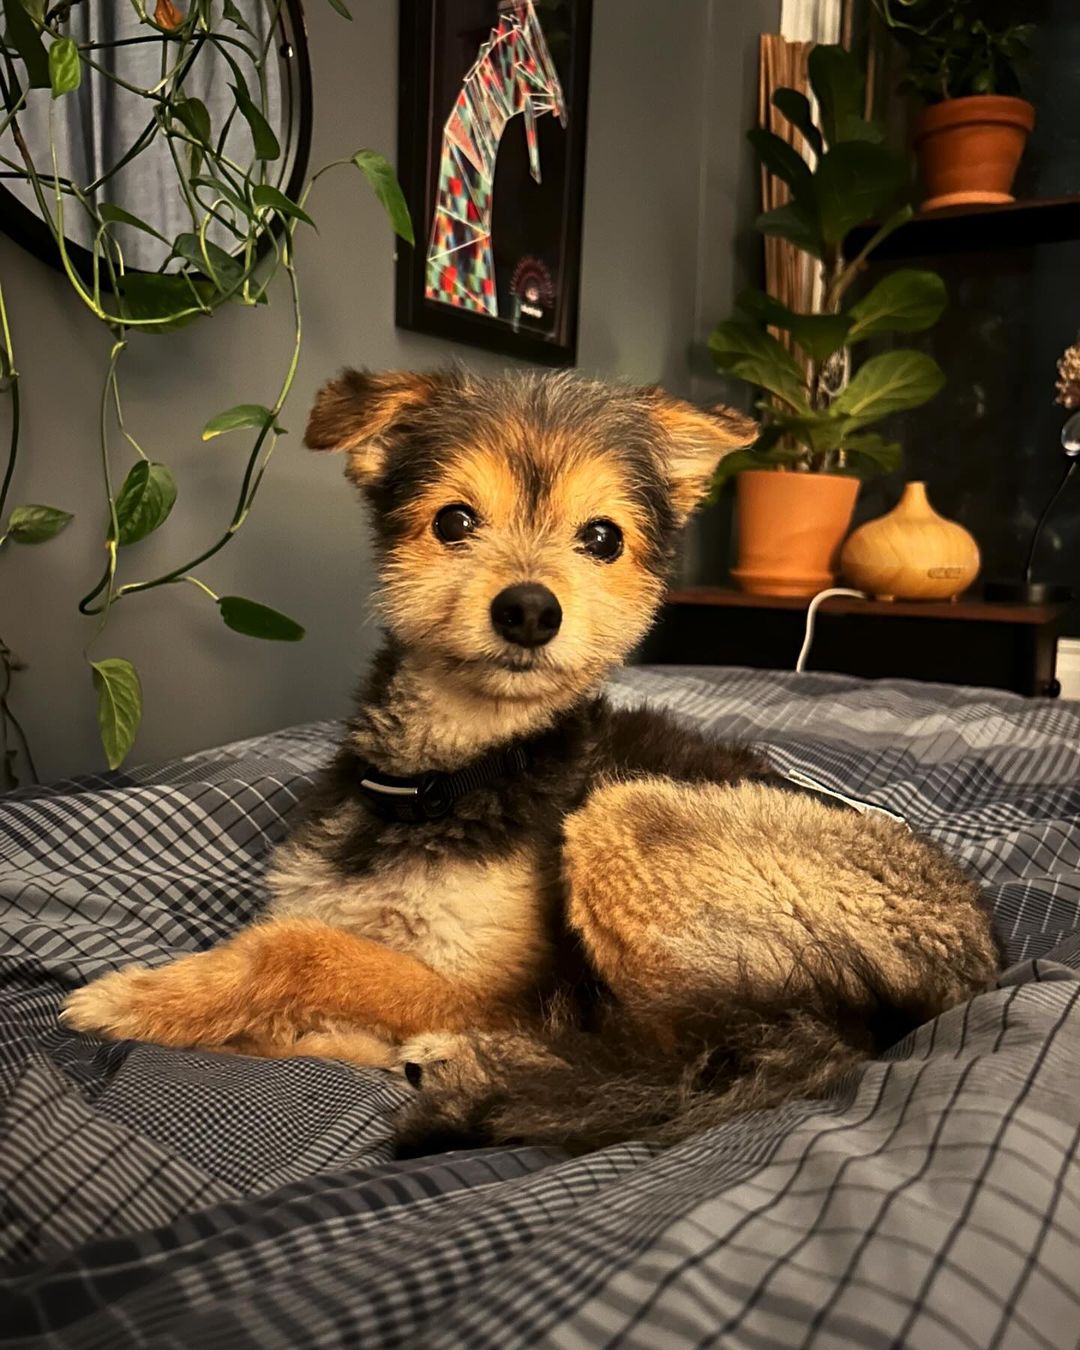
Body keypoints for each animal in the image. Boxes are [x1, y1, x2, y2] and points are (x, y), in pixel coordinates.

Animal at [63, 369, 999, 1150]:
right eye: (453, 521)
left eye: (603, 538)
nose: (527, 611)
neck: (444, 775)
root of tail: (971, 959)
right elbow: (317, 951)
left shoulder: (488, 989)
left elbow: (294, 950)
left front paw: (141, 998)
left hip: (628, 823)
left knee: (670, 1048)